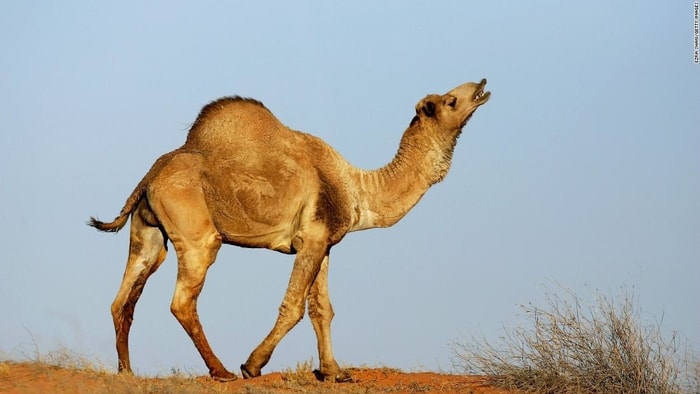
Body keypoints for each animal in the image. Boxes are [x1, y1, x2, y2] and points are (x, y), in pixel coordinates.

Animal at [87, 78, 490, 384]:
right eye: (450, 100)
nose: (482, 85)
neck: (357, 189)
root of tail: (151, 176)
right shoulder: (312, 238)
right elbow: (293, 306)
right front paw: (252, 365)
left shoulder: (324, 242)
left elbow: (322, 309)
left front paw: (334, 372)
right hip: (197, 234)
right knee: (182, 301)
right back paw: (221, 371)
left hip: (148, 232)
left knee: (123, 298)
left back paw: (126, 372)